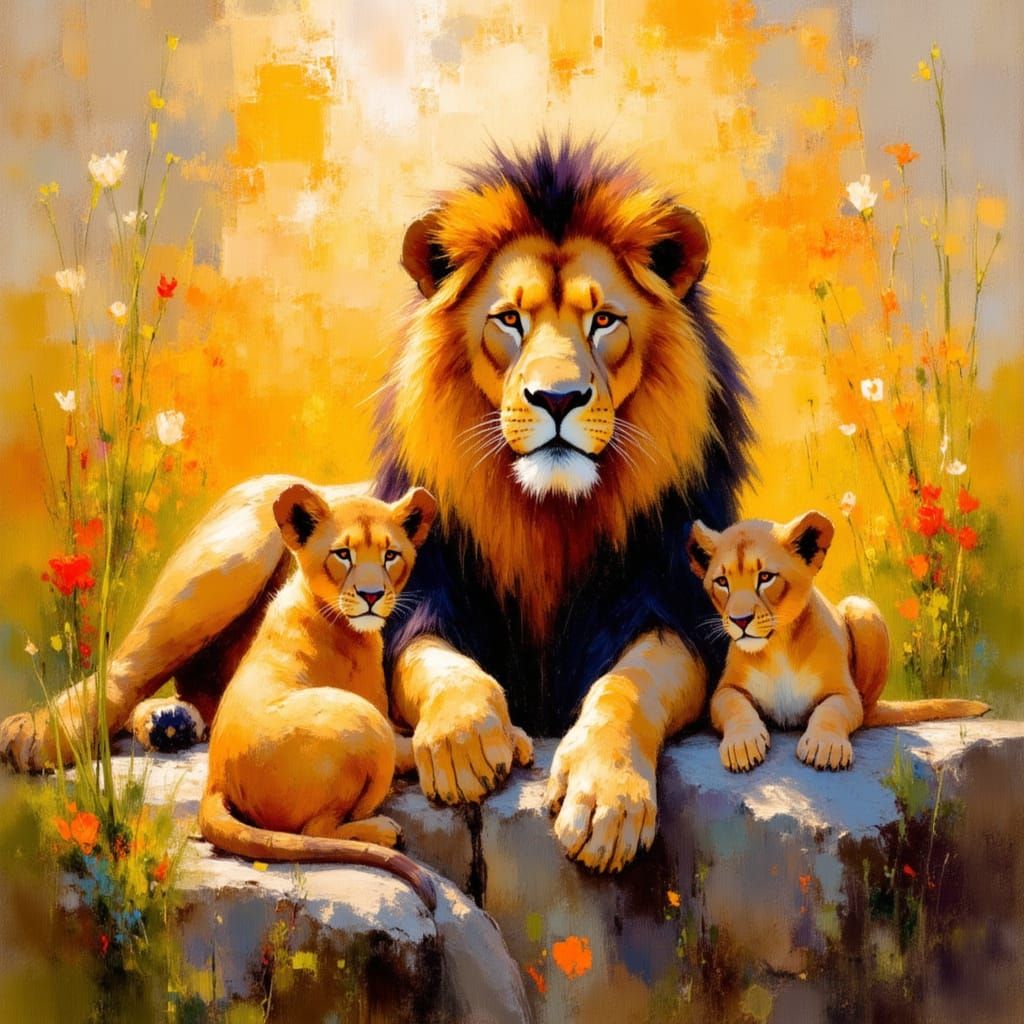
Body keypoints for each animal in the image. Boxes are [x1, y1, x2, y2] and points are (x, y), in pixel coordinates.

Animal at [199, 483, 440, 909]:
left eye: (390, 555)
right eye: (342, 554)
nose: (372, 595)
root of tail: (215, 777)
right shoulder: (383, 719)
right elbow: (411, 746)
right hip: (363, 720)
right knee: (315, 830)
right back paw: (383, 830)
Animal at [686, 512, 989, 772]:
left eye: (765, 577)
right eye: (722, 582)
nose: (740, 620)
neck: (778, 645)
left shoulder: (846, 694)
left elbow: (830, 711)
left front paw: (825, 746)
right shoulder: (725, 690)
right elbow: (736, 707)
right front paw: (743, 745)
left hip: (860, 608)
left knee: (867, 712)